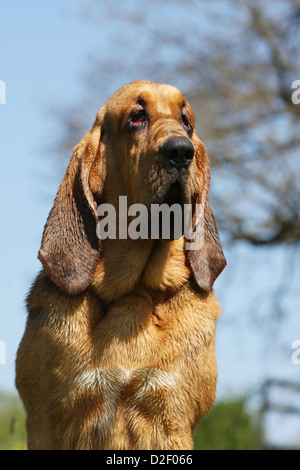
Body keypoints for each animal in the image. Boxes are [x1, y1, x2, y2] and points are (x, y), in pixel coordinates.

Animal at [15, 81, 225, 452]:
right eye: (137, 117)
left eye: (186, 122)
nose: (181, 152)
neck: (133, 293)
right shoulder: (45, 421)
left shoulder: (172, 418)